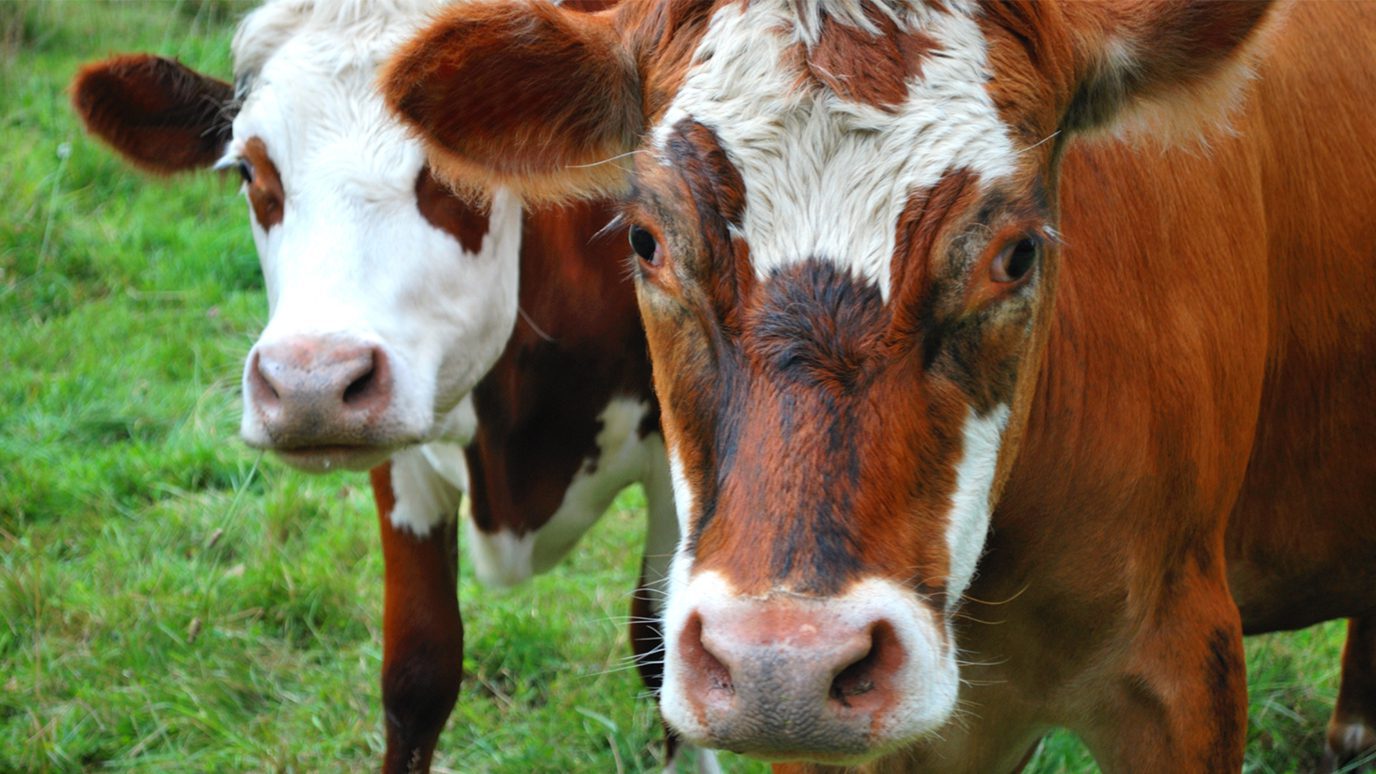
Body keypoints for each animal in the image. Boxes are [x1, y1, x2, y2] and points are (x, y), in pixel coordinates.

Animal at [68, 1, 715, 771]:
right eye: (249, 168)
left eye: (449, 163)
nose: (309, 386)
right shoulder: (397, 453)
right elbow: (418, 668)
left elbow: (666, 653)